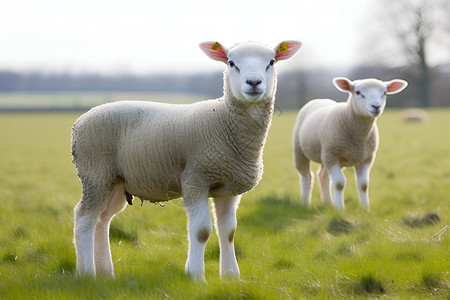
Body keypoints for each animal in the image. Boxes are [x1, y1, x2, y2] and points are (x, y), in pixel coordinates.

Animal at [72, 40, 300, 282]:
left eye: (271, 62)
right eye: (231, 63)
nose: (254, 82)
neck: (224, 121)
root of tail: (79, 121)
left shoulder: (229, 187)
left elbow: (228, 231)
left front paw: (231, 277)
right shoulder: (195, 179)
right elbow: (201, 230)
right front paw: (196, 275)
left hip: (115, 181)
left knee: (103, 219)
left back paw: (106, 273)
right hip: (95, 172)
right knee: (84, 218)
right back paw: (86, 273)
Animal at [292, 76, 408, 210]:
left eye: (384, 93)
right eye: (358, 92)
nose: (376, 106)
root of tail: (319, 100)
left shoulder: (367, 158)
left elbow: (363, 184)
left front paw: (365, 209)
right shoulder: (332, 155)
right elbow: (339, 183)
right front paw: (340, 209)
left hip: (326, 156)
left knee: (322, 175)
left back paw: (328, 203)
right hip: (301, 151)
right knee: (306, 176)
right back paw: (305, 203)